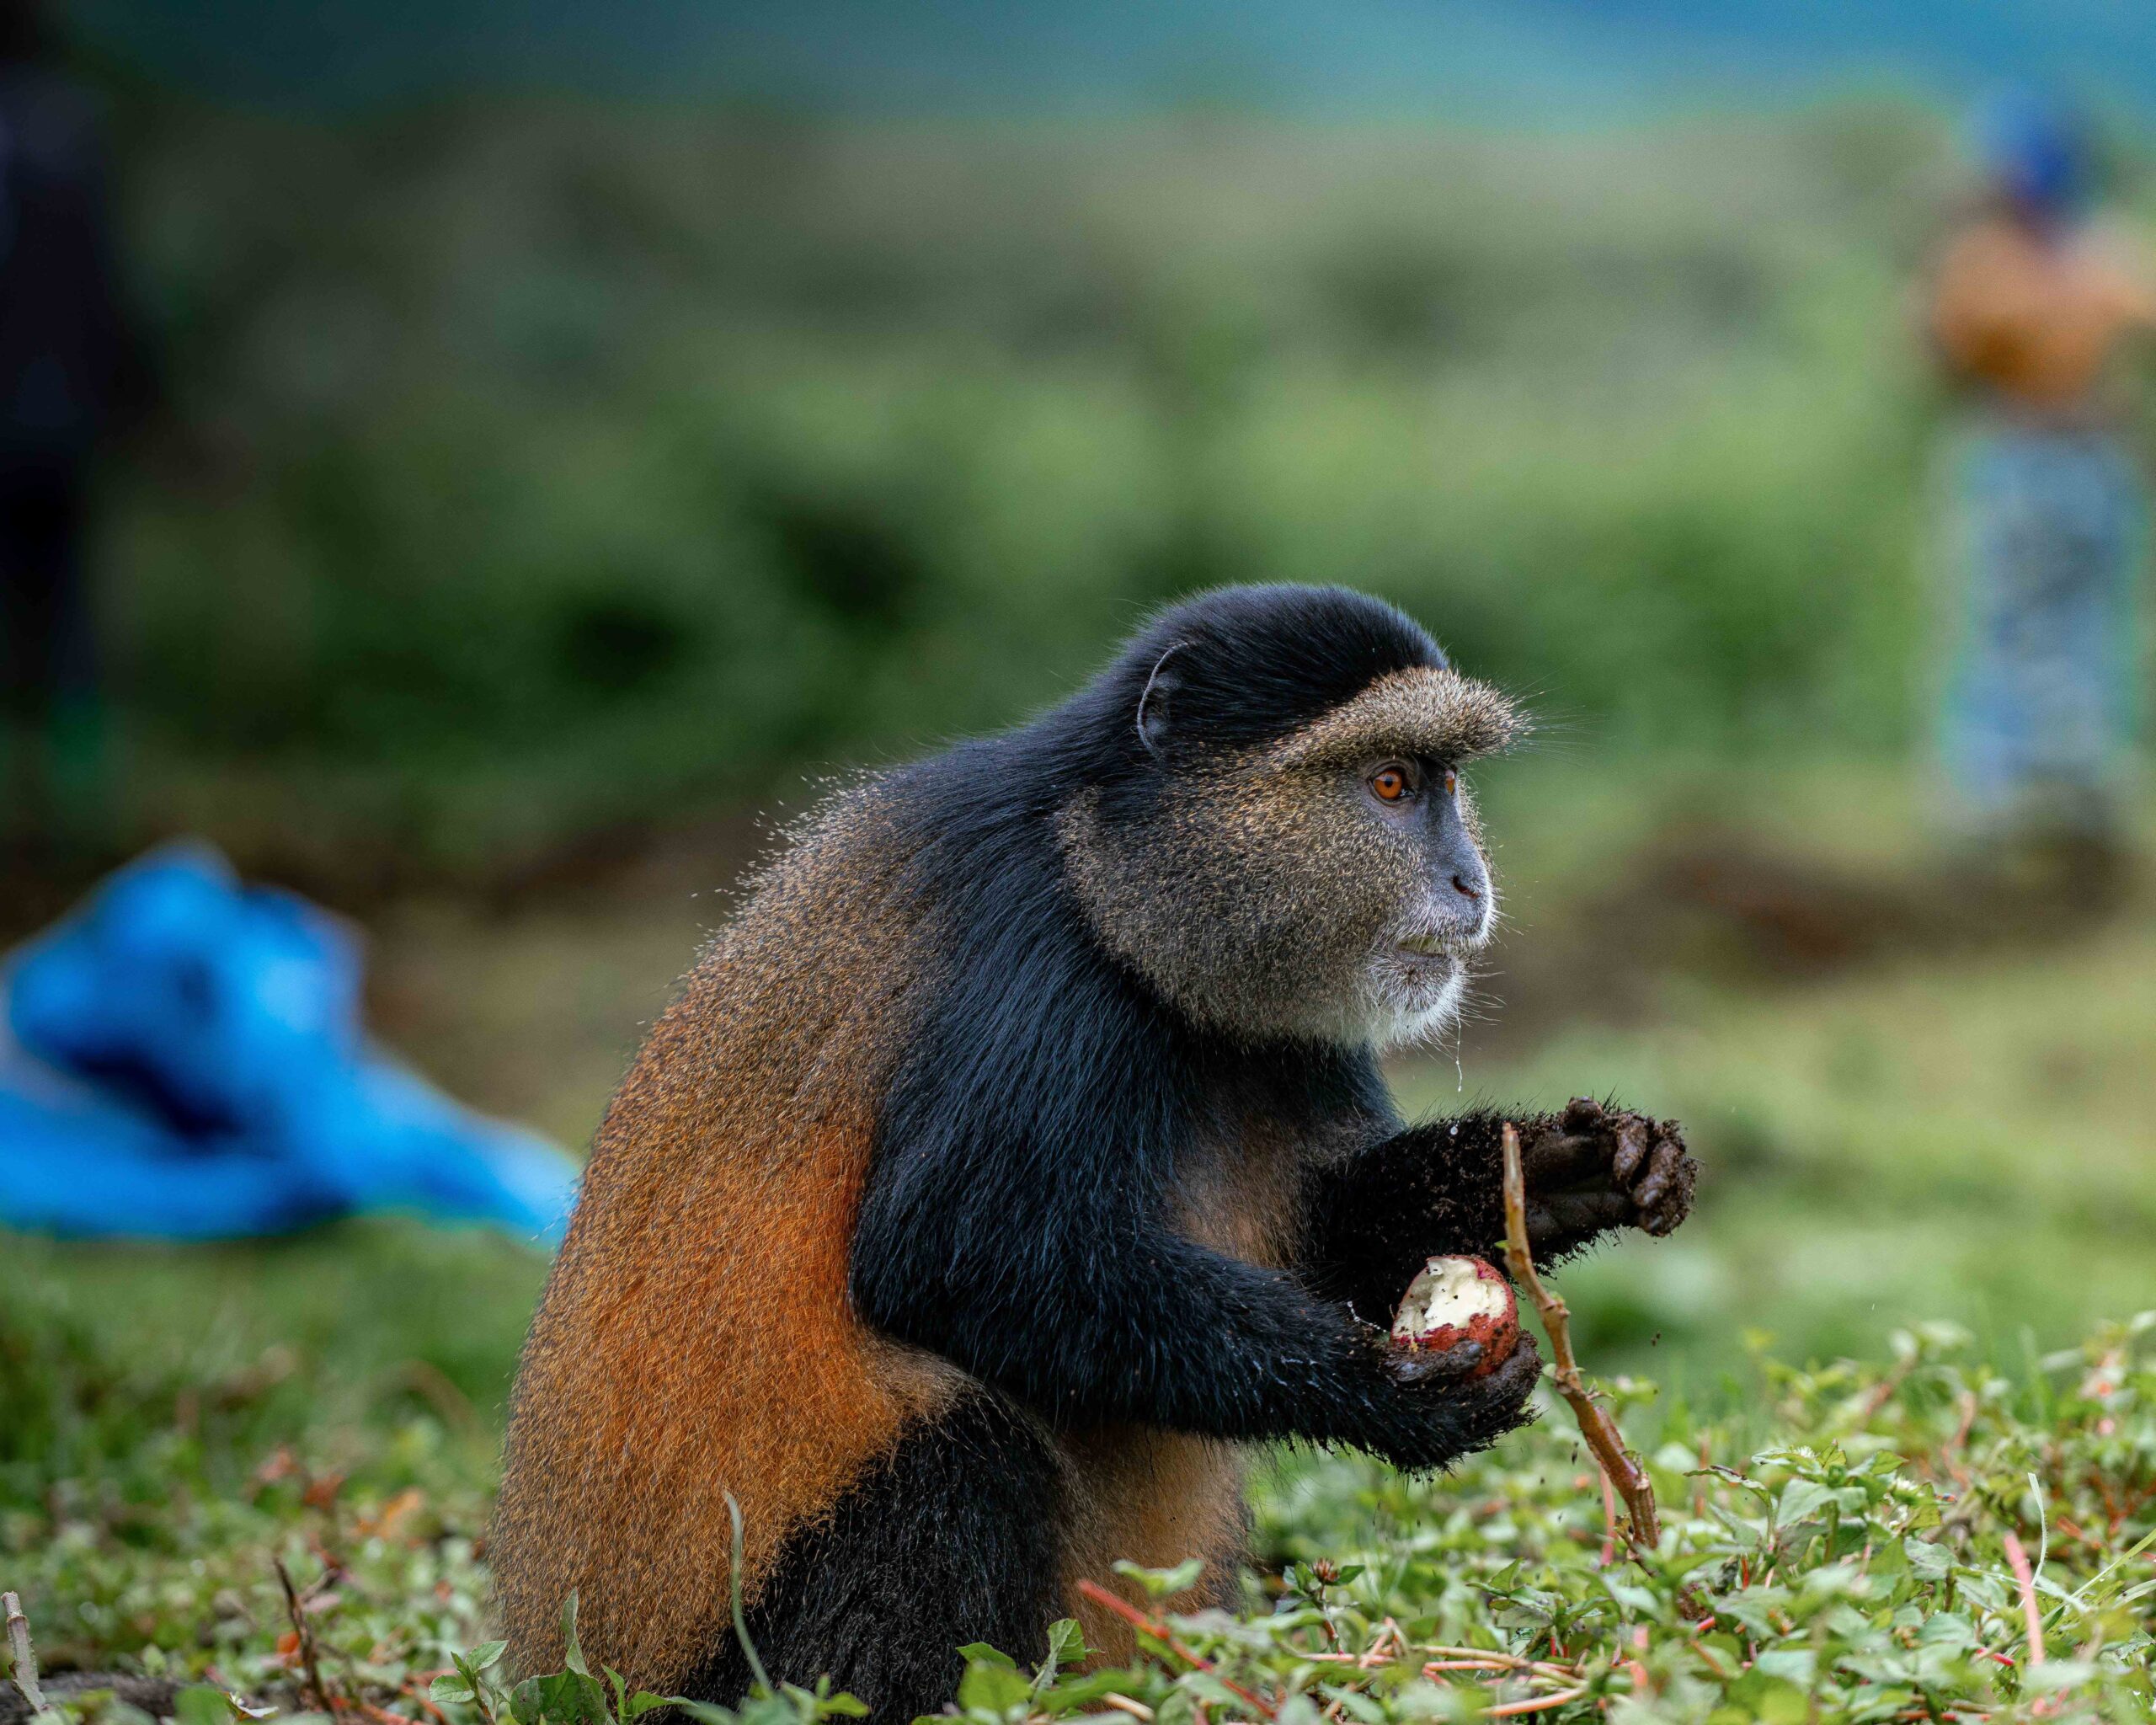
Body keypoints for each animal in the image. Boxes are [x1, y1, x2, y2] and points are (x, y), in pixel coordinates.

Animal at [490, 583, 1695, 1722]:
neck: (1106, 866)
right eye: (1392, 783)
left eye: (1444, 781)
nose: (1466, 881)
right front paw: (1389, 1395)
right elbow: (953, 1256)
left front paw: (1571, 1168)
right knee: (959, 1451)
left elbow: (1325, 1237)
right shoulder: (1033, 960)